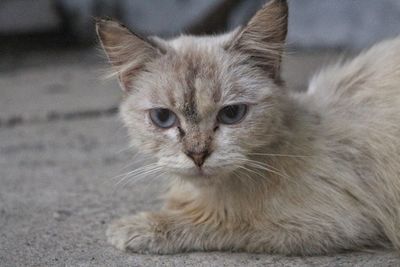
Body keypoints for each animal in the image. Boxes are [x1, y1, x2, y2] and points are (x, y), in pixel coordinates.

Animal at [95, 0, 400, 255]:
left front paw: (139, 227)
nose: (197, 155)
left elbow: (219, 223)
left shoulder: (329, 223)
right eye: (163, 118)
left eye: (231, 114)